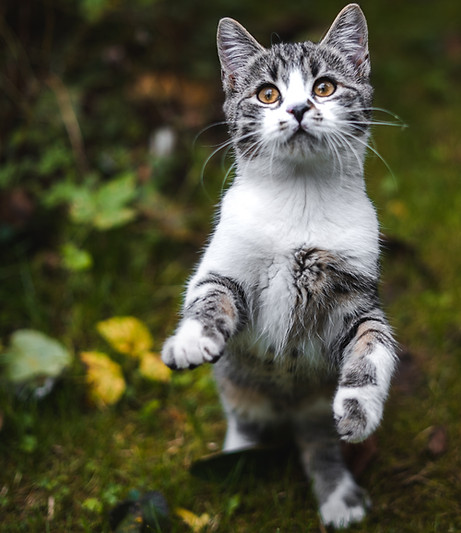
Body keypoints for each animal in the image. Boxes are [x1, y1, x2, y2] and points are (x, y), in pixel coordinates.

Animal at [162, 4, 396, 528]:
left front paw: (359, 409)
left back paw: (339, 497)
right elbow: (210, 294)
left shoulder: (356, 291)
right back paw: (236, 459)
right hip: (239, 387)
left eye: (324, 87)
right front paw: (191, 340)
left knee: (320, 444)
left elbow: (374, 342)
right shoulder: (228, 260)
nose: (298, 109)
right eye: (268, 94)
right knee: (246, 422)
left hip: (312, 407)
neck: (300, 202)